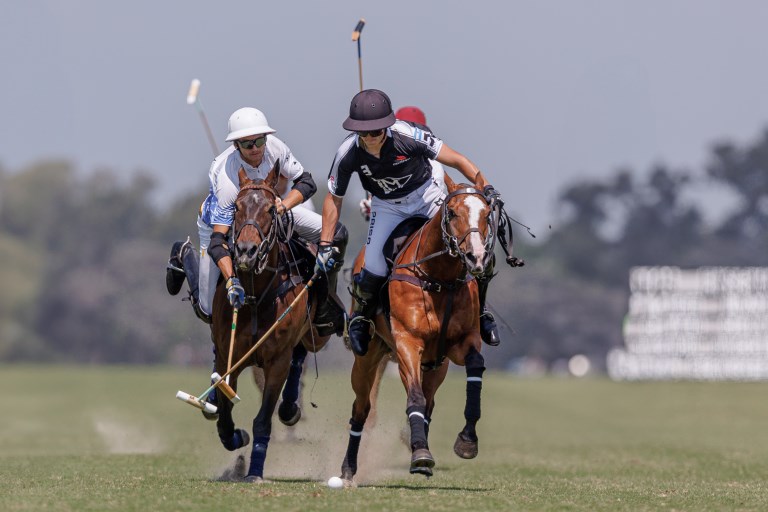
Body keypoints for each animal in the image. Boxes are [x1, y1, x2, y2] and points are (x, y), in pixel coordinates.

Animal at [210, 162, 332, 482]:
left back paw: (290, 407)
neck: (256, 295)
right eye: (236, 207)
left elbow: (263, 420)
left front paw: (254, 471)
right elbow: (225, 410)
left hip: (312, 334)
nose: (246, 251)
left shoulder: (277, 360)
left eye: (270, 209)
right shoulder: (228, 358)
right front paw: (236, 438)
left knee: (300, 355)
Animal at [338, 174, 496, 482]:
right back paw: (349, 467)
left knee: (430, 402)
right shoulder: (407, 344)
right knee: (361, 409)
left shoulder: (460, 343)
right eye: (452, 212)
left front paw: (467, 440)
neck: (439, 278)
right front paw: (421, 454)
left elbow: (475, 367)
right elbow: (414, 398)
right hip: (367, 359)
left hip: (436, 366)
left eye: (486, 214)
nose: (476, 257)